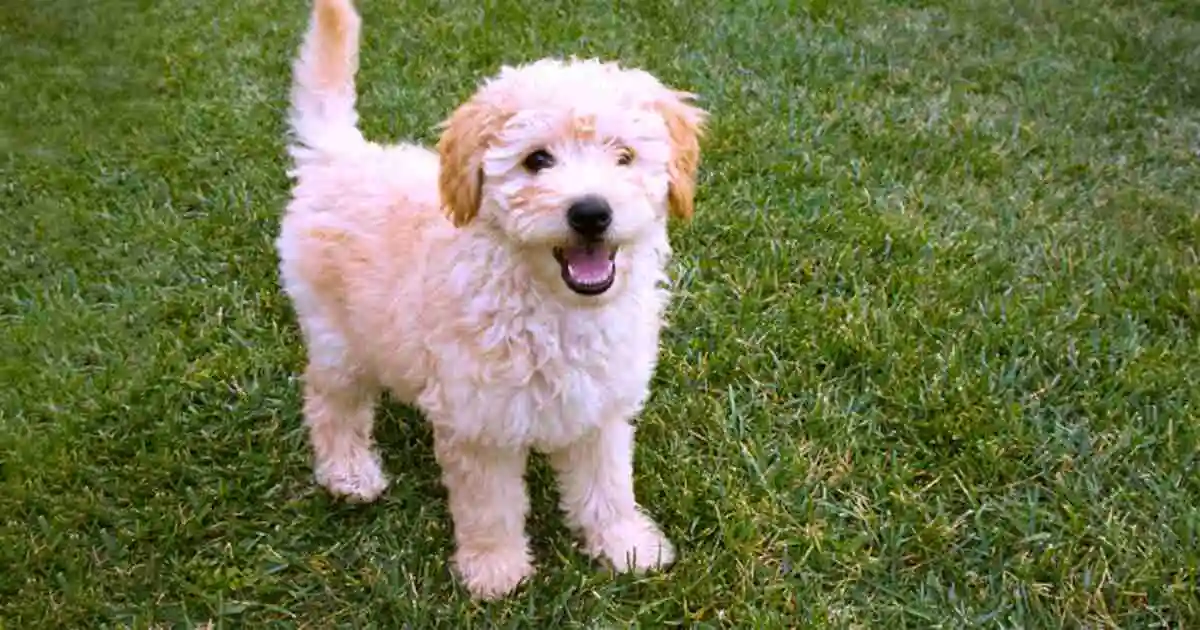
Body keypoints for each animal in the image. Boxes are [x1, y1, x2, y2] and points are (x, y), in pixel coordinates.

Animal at [276, 0, 705, 600]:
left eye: (624, 156)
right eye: (537, 160)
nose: (591, 212)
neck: (553, 306)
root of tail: (340, 155)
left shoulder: (600, 405)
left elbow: (608, 485)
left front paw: (626, 545)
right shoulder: (479, 424)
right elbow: (490, 505)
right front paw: (495, 570)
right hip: (339, 336)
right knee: (328, 401)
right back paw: (349, 473)